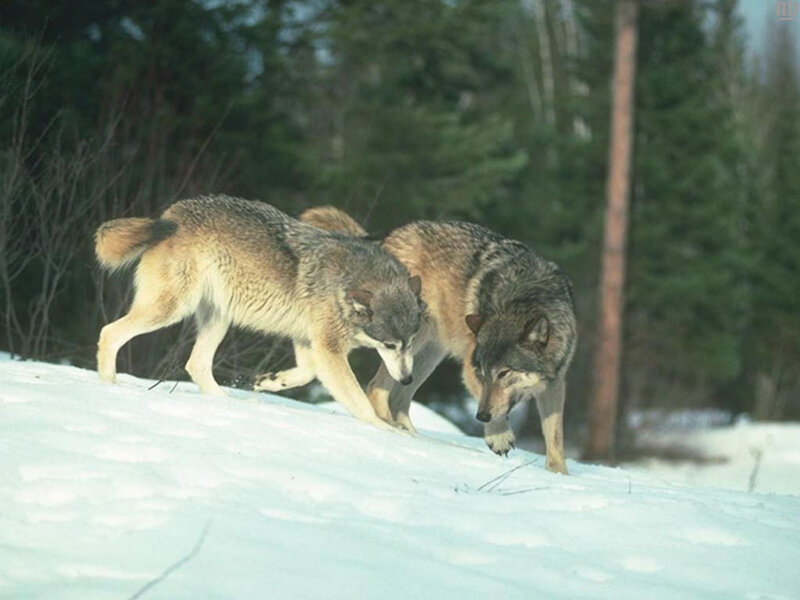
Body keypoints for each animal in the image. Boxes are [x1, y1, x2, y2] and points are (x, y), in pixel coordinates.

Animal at [95, 195, 423, 429]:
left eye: (410, 343)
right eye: (389, 345)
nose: (407, 380)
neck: (349, 281)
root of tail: (170, 216)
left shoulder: (308, 341)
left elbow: (305, 374)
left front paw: (268, 381)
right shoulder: (328, 349)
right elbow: (359, 401)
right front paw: (386, 431)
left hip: (218, 318)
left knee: (195, 365)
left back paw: (225, 403)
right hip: (171, 310)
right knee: (109, 332)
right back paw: (108, 386)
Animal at [300, 207, 577, 473]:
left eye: (504, 372)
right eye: (483, 373)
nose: (481, 416)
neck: (525, 298)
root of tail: (387, 236)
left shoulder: (556, 382)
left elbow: (556, 438)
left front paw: (558, 474)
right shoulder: (469, 369)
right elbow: (492, 405)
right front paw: (499, 436)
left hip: (428, 356)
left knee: (399, 399)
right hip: (411, 344)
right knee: (376, 388)